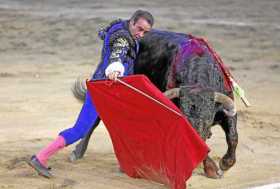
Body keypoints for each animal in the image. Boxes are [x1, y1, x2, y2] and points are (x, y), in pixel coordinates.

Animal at [69, 29, 236, 179]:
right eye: (185, 118)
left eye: (208, 119)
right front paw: (213, 169)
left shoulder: (226, 110)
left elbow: (233, 136)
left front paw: (224, 164)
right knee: (94, 119)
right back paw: (77, 152)